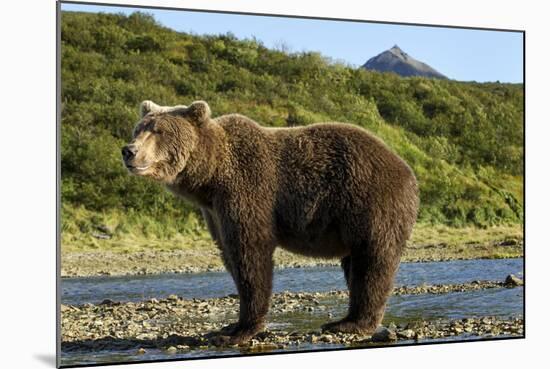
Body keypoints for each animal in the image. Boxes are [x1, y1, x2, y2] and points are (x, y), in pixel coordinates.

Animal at [123, 99, 420, 344]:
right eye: (138, 129)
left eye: (158, 130)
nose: (129, 150)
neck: (210, 178)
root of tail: (405, 167)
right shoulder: (215, 211)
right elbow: (230, 256)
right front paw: (229, 326)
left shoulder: (247, 189)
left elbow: (251, 253)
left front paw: (240, 330)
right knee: (355, 265)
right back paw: (345, 320)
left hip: (370, 202)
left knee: (371, 260)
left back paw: (352, 324)